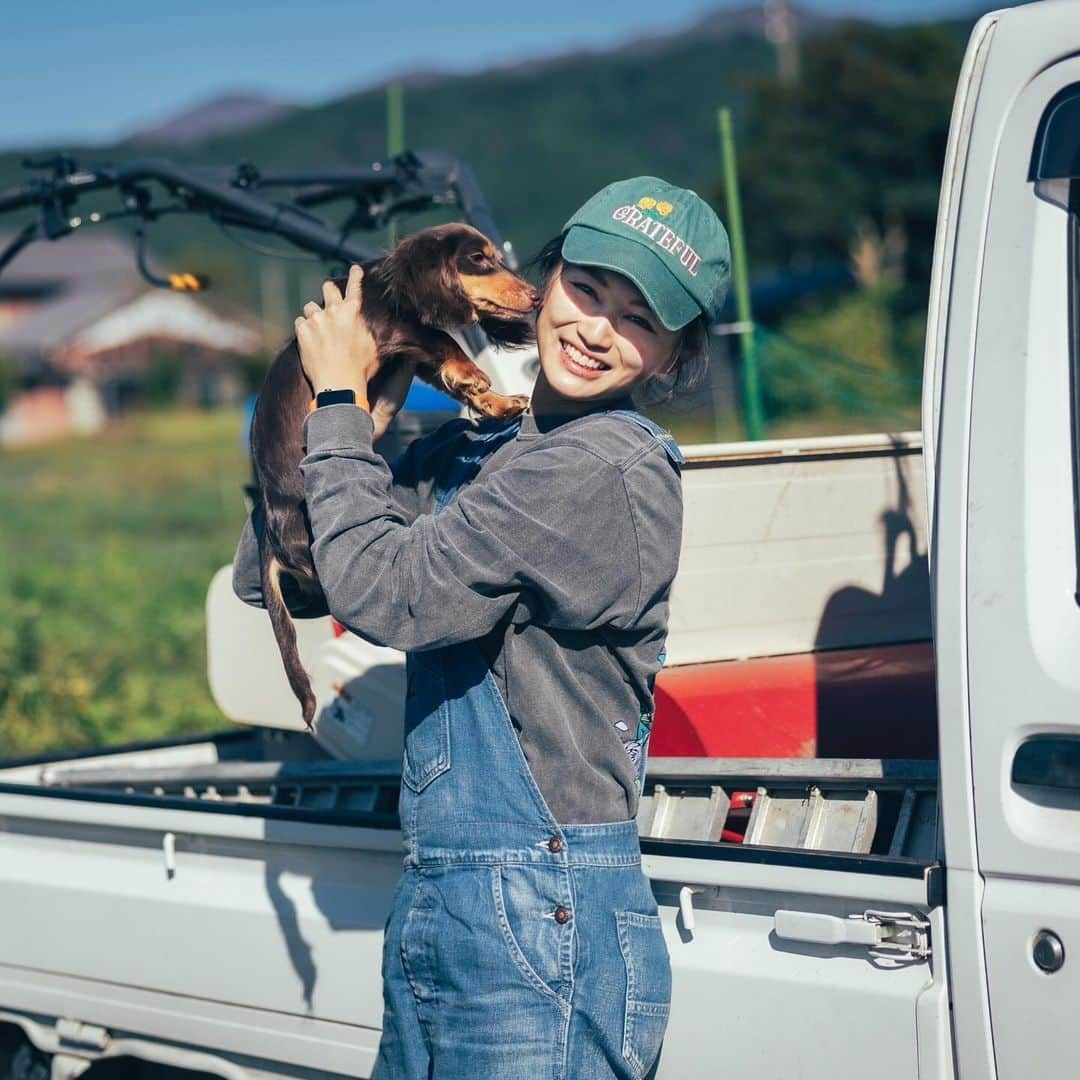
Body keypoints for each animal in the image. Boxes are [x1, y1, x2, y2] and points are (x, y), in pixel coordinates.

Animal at [252, 219, 540, 725]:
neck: (392, 285)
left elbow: (447, 366)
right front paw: (478, 379)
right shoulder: (389, 326)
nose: (536, 295)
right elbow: (442, 339)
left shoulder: (413, 358)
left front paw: (497, 402)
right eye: (478, 259)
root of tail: (270, 530)